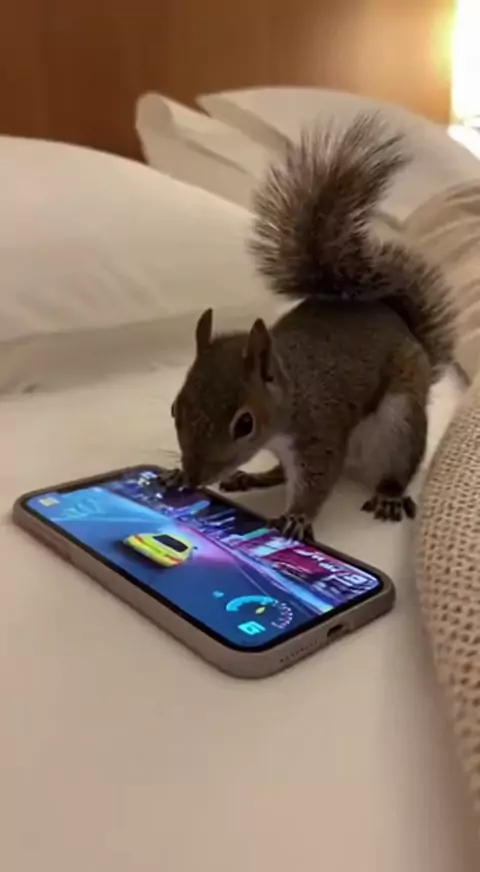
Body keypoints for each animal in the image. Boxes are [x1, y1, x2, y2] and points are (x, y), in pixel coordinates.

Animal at [164, 113, 454, 541]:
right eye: (174, 408)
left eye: (244, 424)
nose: (196, 476)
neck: (291, 392)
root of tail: (403, 327)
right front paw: (175, 476)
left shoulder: (321, 432)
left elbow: (318, 479)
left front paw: (298, 516)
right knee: (279, 473)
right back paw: (254, 478)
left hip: (399, 419)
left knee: (399, 464)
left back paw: (388, 494)